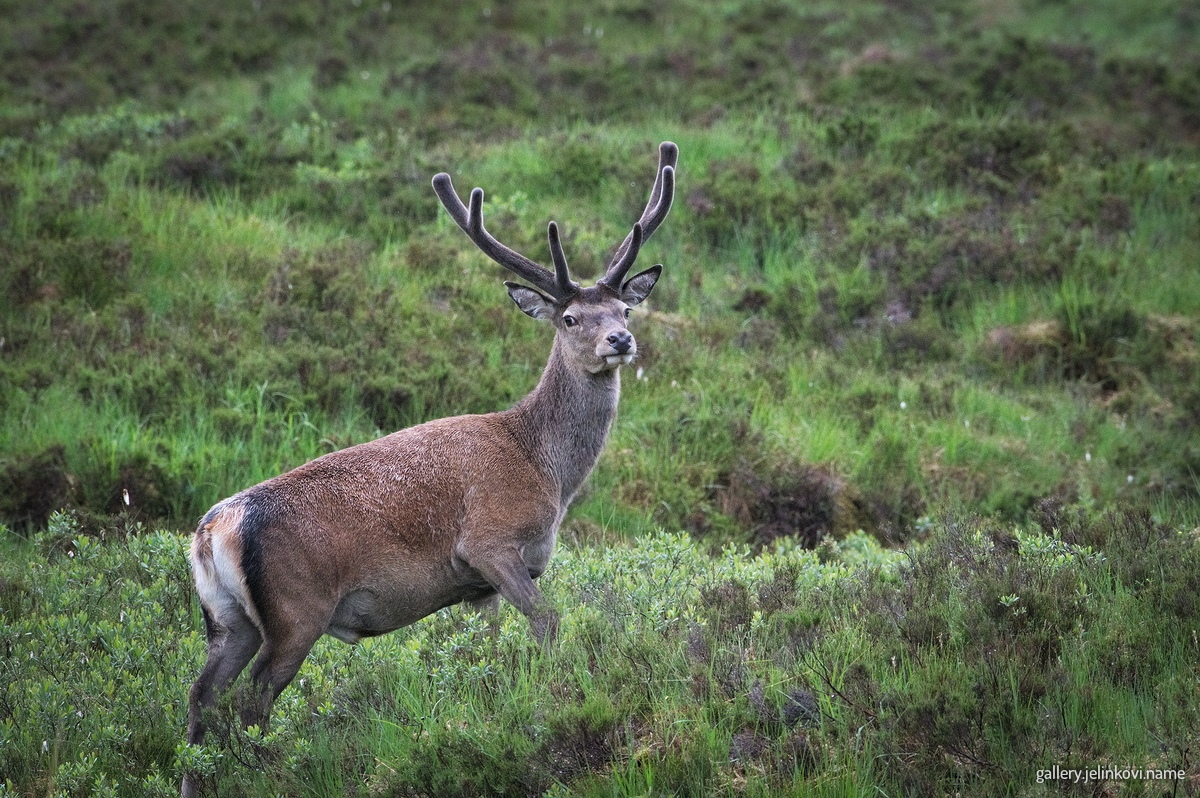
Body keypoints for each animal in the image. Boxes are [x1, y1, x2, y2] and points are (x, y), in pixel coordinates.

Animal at [181, 141, 676, 797]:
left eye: (624, 308)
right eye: (570, 319)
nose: (619, 340)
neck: (547, 468)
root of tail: (211, 531)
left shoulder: (478, 589)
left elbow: (488, 651)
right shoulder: (489, 543)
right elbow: (548, 622)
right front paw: (555, 701)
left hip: (228, 619)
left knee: (202, 698)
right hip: (295, 611)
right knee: (250, 704)